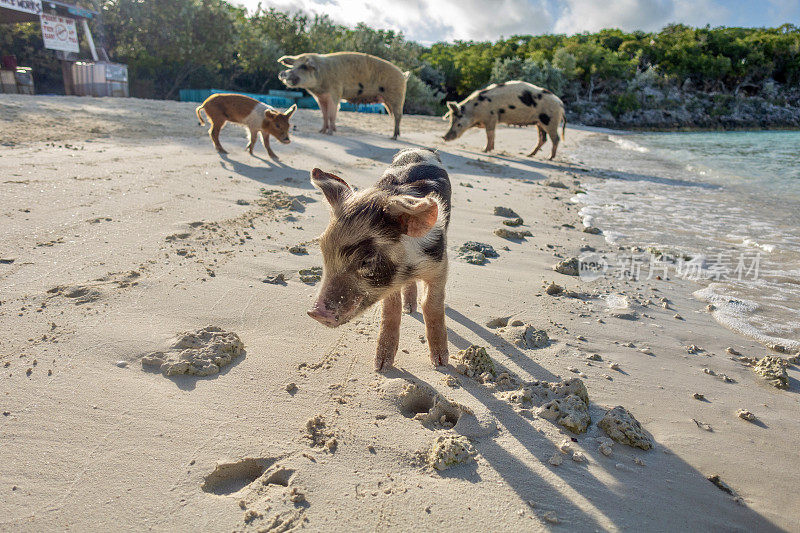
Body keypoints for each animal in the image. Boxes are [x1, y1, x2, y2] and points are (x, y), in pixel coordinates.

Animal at [278, 51, 410, 138]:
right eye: (293, 65)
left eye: (303, 66)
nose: (283, 73)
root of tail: (403, 75)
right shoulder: (320, 97)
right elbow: (324, 115)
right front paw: (321, 131)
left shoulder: (335, 92)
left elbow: (332, 114)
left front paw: (330, 133)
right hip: (388, 101)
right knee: (394, 116)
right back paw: (396, 135)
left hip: (397, 96)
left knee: (398, 116)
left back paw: (393, 137)